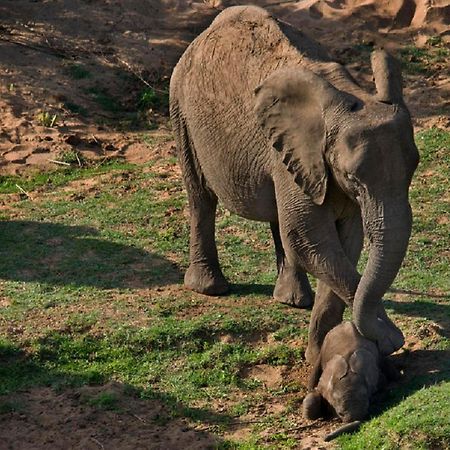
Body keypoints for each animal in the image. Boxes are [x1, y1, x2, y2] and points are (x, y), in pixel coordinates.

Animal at [169, 5, 418, 360]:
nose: (395, 342)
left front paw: (318, 354)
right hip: (181, 109)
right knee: (201, 197)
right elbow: (309, 238)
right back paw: (209, 289)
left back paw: (293, 300)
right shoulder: (297, 153)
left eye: (414, 168)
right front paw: (387, 338)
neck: (350, 97)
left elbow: (343, 242)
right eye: (353, 178)